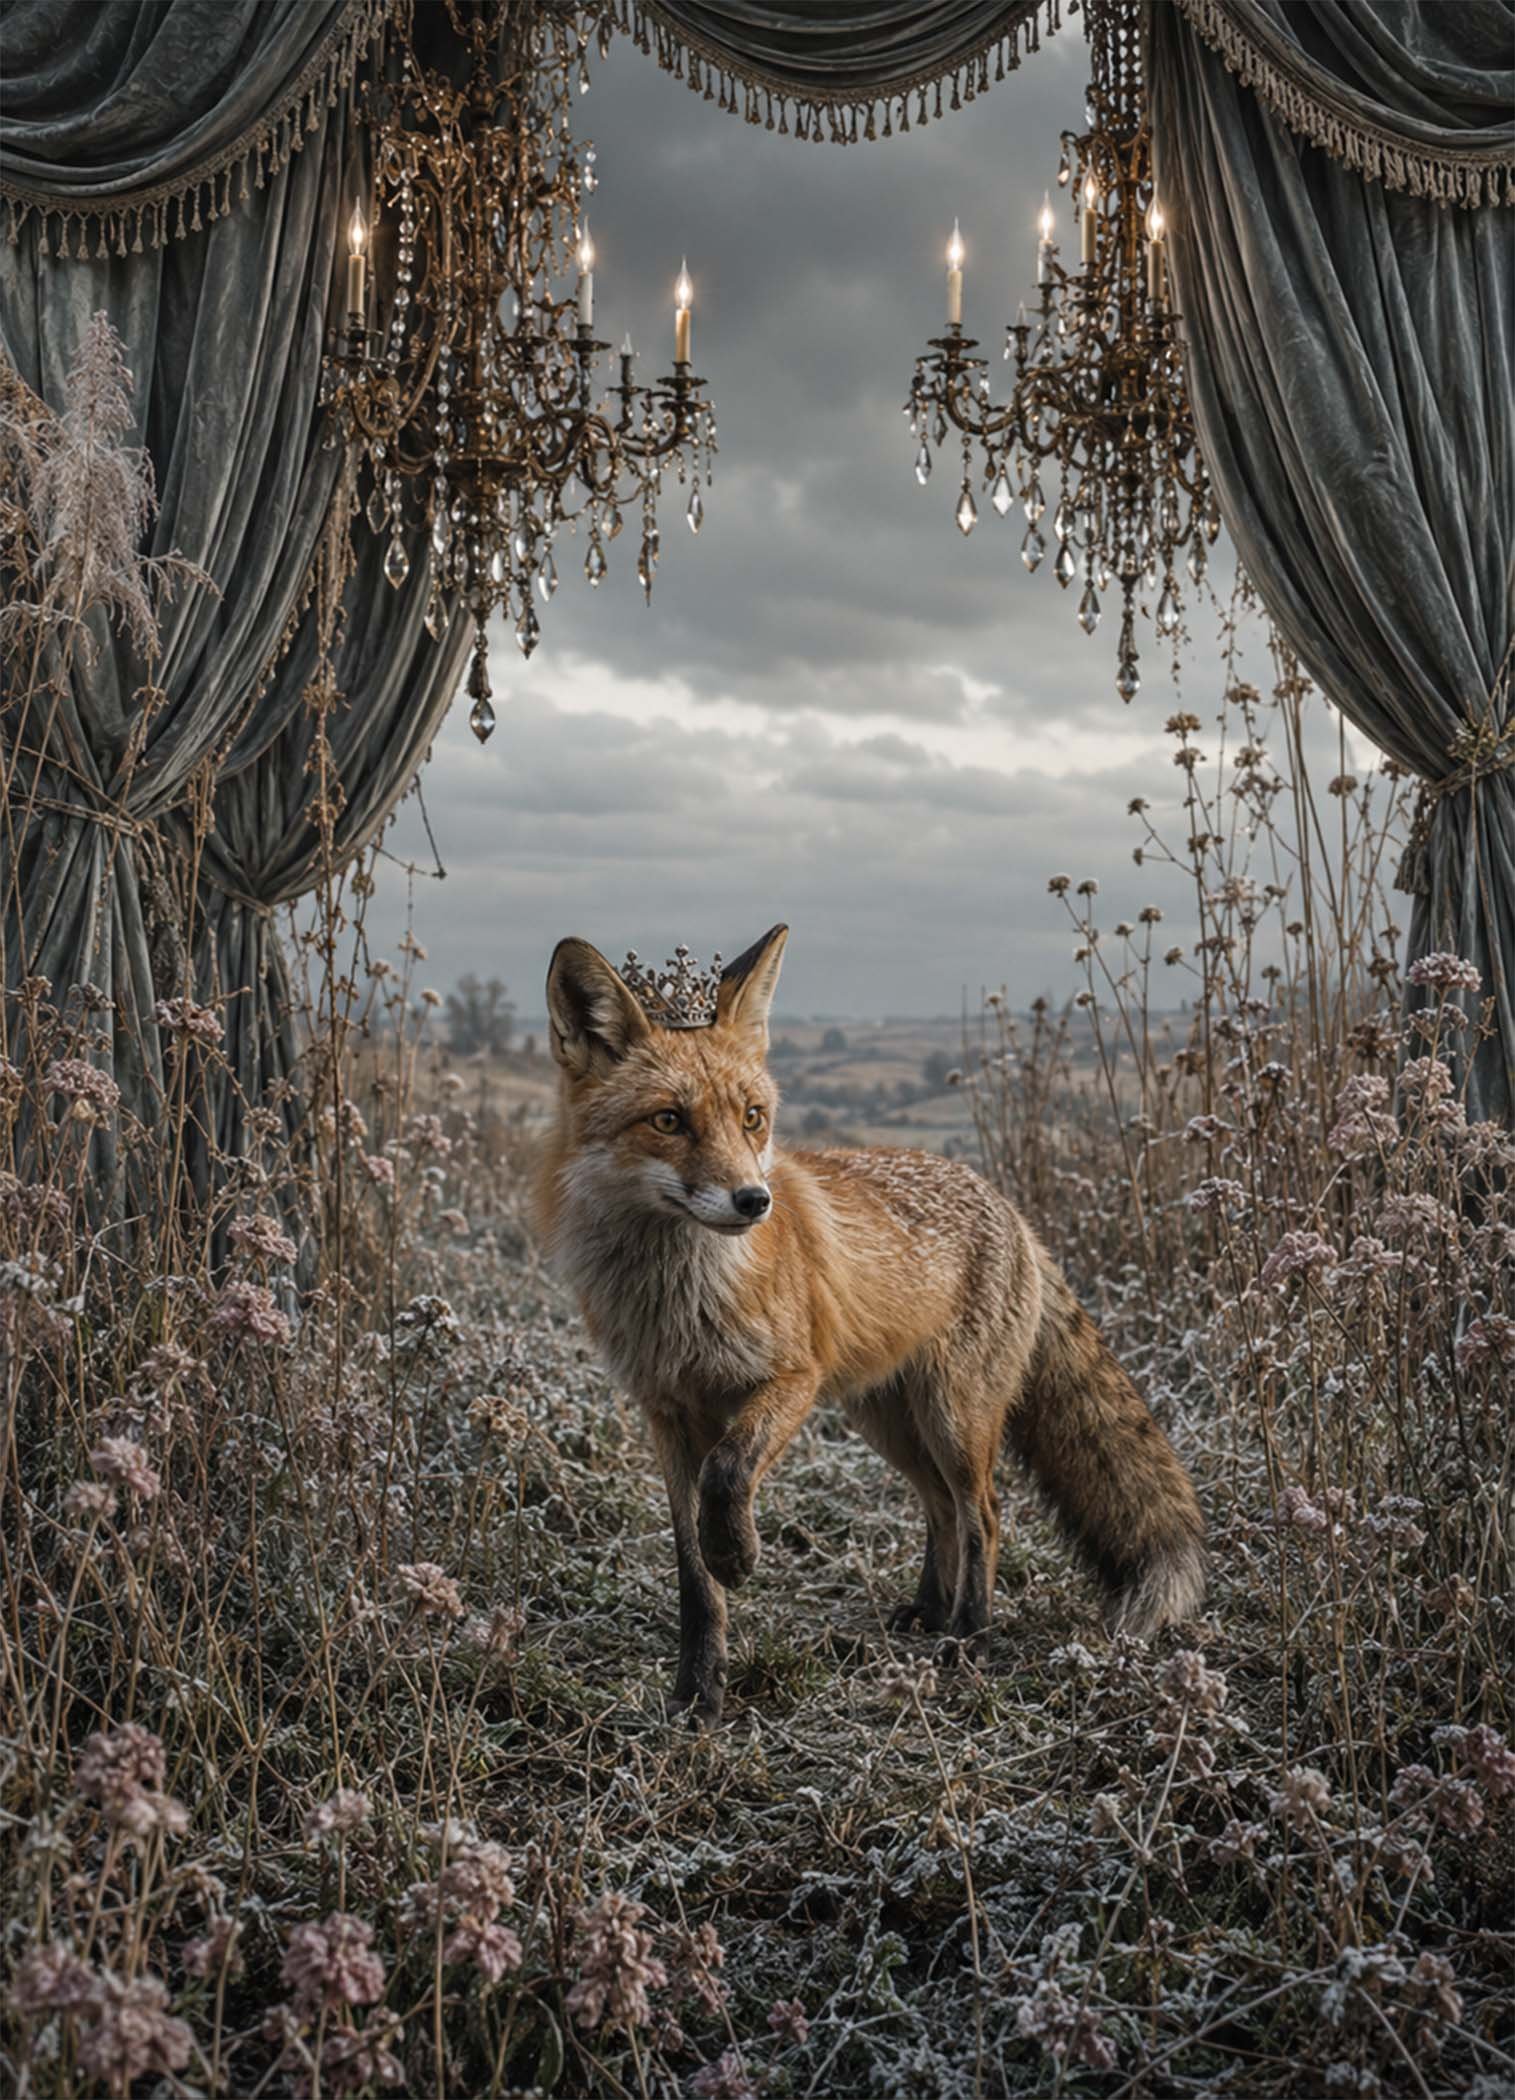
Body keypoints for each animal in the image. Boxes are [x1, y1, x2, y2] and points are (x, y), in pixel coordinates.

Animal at [538, 924, 1205, 1725]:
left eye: (752, 1118)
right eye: (669, 1120)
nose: (753, 1200)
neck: (682, 1301)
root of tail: (1010, 1209)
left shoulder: (792, 1380)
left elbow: (729, 1476)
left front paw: (738, 1555)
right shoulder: (665, 1415)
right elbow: (692, 1575)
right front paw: (698, 1690)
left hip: (953, 1417)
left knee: (984, 1513)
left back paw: (967, 1638)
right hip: (887, 1420)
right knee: (941, 1508)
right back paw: (929, 1611)